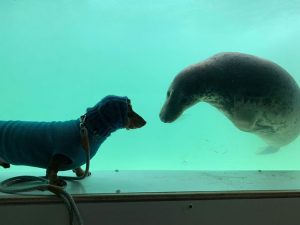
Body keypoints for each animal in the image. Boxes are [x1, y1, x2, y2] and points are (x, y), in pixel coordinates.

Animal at [0, 96, 145, 185]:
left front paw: (81, 172)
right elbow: (51, 170)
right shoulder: (59, 155)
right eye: (129, 112)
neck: (87, 129)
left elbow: (77, 166)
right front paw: (56, 181)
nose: (145, 122)